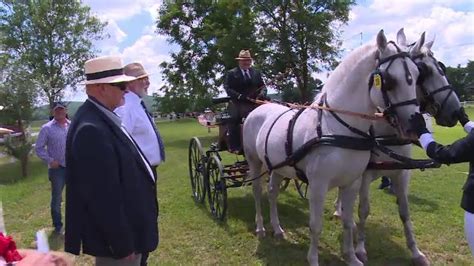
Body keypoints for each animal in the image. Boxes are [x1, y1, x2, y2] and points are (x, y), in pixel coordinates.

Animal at [243, 30, 420, 264]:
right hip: (254, 161)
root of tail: (256, 109)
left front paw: (352, 257)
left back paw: (278, 229)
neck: (337, 128)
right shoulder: (318, 186)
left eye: (417, 75)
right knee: (257, 192)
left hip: (278, 167)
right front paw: (313, 260)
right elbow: (315, 226)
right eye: (390, 81)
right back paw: (261, 228)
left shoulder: (352, 183)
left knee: (272, 193)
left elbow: (348, 221)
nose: (415, 124)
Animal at [332, 29, 462, 264]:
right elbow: (363, 210)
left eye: (441, 67)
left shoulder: (402, 173)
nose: (455, 111)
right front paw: (360, 248)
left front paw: (416, 252)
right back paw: (341, 212)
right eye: (424, 71)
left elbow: (404, 211)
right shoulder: (365, 174)